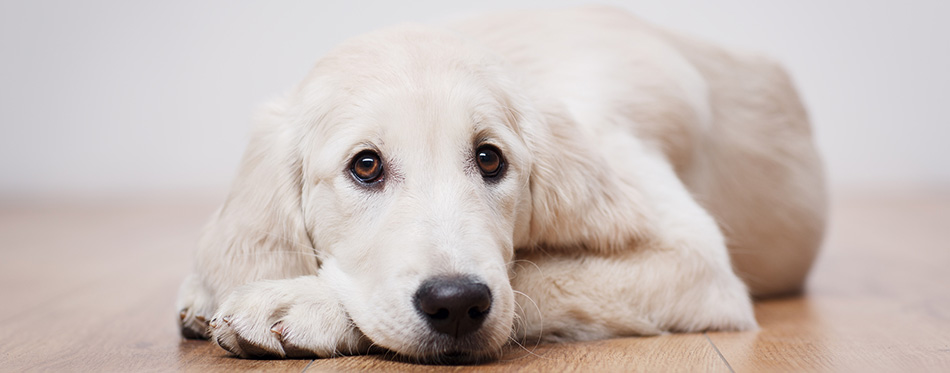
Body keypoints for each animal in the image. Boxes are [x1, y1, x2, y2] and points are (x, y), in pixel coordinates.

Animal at [177, 5, 824, 360]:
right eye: (365, 166)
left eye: (490, 160)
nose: (457, 304)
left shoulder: (698, 263)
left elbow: (539, 277)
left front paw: (302, 304)